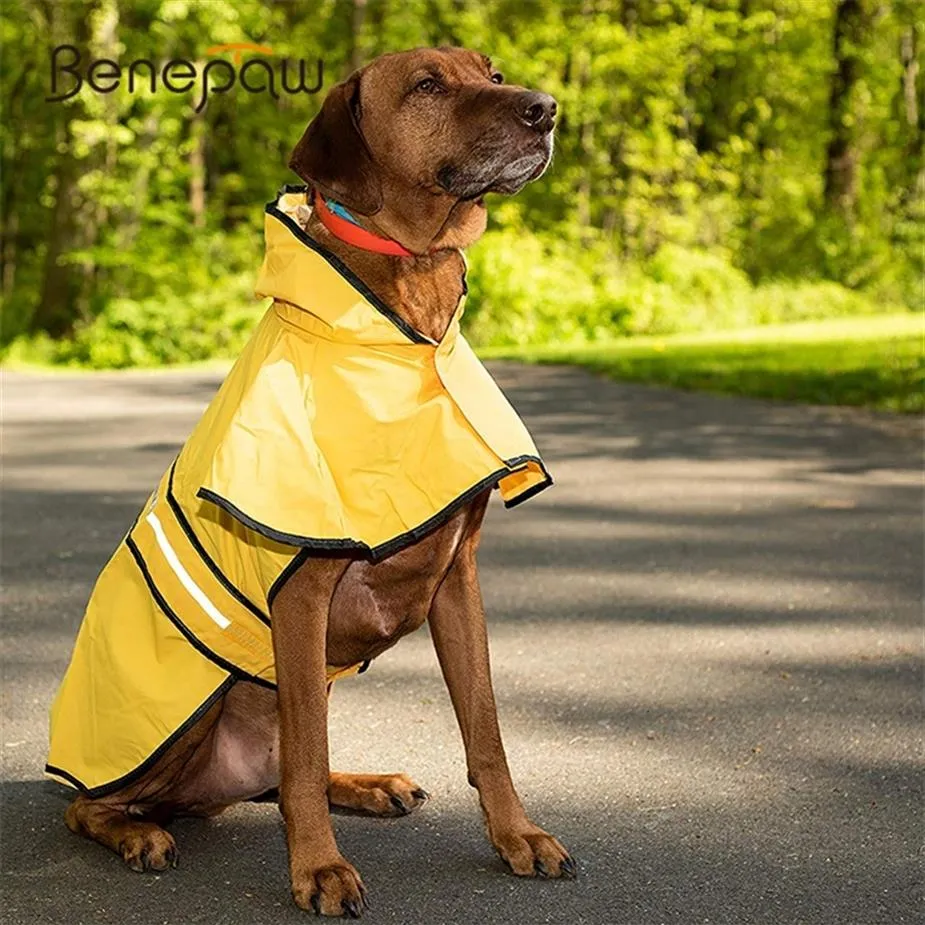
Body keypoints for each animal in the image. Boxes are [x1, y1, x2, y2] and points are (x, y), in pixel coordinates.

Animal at [61, 47, 568, 912]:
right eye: (427, 84)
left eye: (492, 72)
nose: (545, 108)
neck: (405, 309)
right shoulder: (301, 594)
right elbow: (301, 761)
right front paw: (320, 869)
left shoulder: (457, 578)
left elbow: (486, 730)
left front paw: (516, 835)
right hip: (182, 719)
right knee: (92, 802)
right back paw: (137, 831)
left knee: (285, 770)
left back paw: (366, 783)